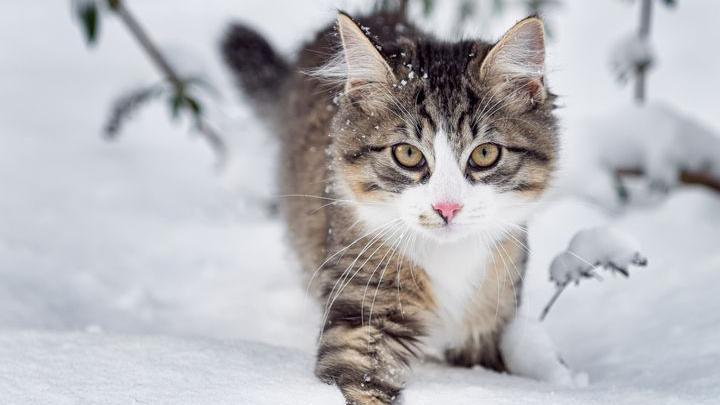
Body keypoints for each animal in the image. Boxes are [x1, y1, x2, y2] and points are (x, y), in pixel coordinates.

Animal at [222, 7, 572, 402]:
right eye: (407, 154)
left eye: (485, 154)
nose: (447, 208)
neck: (449, 259)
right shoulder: (365, 306)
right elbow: (358, 378)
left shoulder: (489, 319)